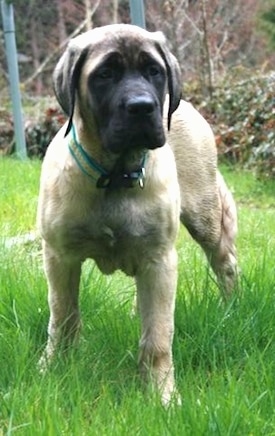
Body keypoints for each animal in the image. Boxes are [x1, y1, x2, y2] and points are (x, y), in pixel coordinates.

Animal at [37, 23, 238, 406]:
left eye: (153, 71)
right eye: (105, 74)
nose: (143, 107)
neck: (115, 176)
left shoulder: (159, 260)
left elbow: (158, 335)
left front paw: (162, 395)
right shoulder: (60, 256)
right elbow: (63, 315)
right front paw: (53, 366)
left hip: (205, 216)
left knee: (225, 261)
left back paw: (233, 305)